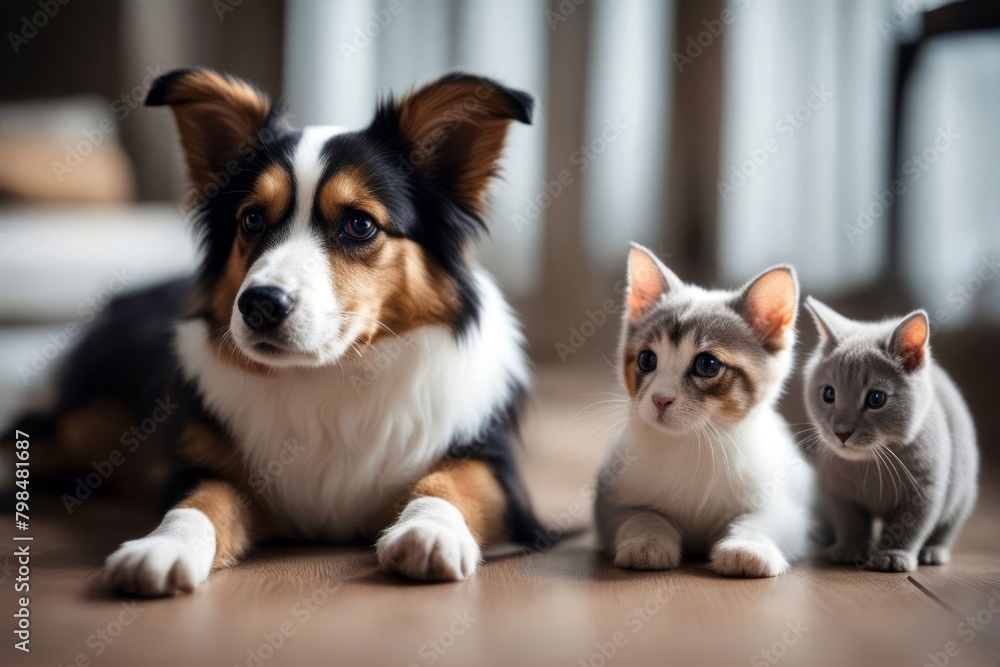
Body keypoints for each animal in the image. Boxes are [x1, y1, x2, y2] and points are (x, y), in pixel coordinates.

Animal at [35, 68, 544, 596]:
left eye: (360, 224)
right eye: (252, 218)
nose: (259, 304)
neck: (331, 376)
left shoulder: (497, 472)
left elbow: (451, 482)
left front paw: (430, 530)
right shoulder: (203, 467)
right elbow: (197, 502)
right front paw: (162, 547)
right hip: (85, 422)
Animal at [592, 245, 812, 580]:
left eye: (707, 365)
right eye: (646, 359)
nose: (660, 399)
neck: (693, 443)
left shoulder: (789, 510)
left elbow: (763, 519)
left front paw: (748, 547)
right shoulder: (611, 503)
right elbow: (641, 515)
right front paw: (646, 542)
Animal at [800, 298, 980, 576]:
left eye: (876, 399)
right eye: (828, 394)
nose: (841, 432)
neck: (871, 466)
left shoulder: (925, 492)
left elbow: (909, 526)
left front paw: (893, 556)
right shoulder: (836, 490)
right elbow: (849, 522)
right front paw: (849, 549)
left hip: (963, 490)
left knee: (948, 525)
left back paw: (933, 552)